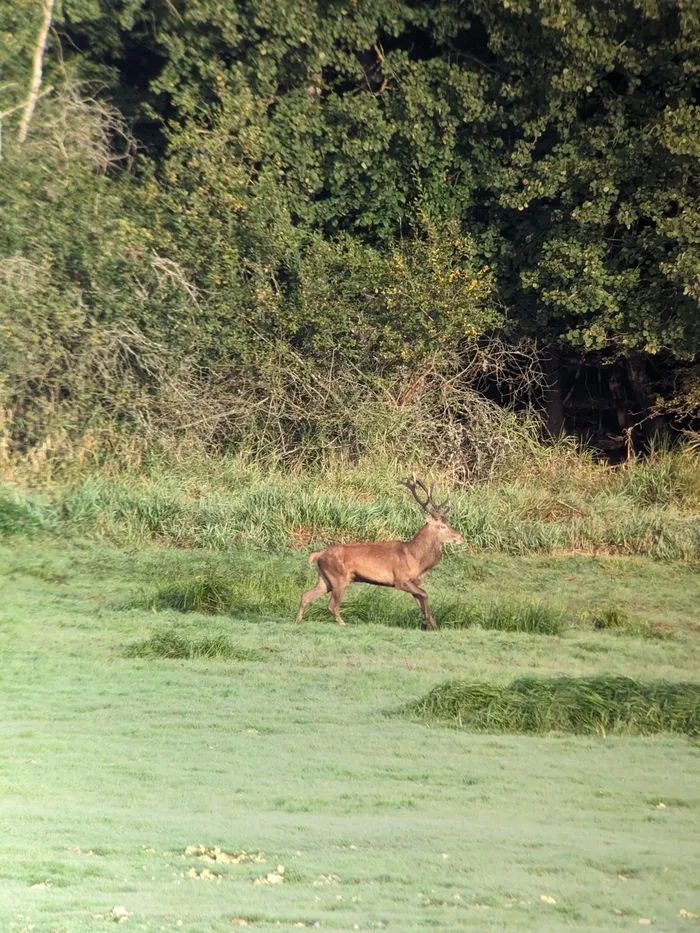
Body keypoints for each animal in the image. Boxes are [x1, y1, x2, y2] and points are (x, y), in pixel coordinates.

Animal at [295, 477, 464, 630]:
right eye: (442, 526)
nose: (460, 537)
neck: (416, 558)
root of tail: (319, 554)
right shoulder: (400, 579)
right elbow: (424, 594)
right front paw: (430, 624)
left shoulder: (414, 581)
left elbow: (421, 599)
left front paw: (432, 625)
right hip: (339, 578)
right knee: (332, 605)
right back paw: (343, 624)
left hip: (325, 579)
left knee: (306, 596)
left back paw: (297, 621)